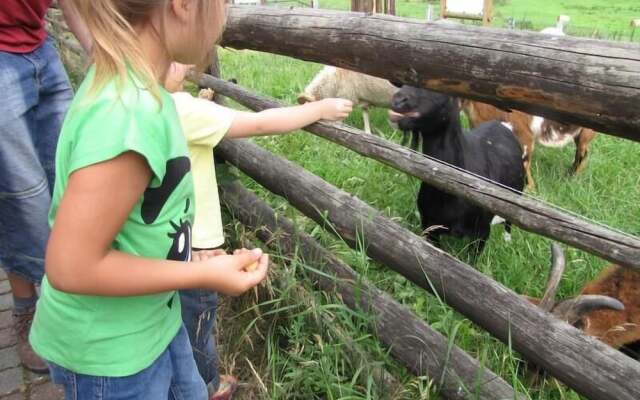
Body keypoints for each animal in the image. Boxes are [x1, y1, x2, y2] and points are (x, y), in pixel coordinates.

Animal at [458, 101, 596, 192]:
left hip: (586, 132)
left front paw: (529, 190)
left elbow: (524, 163)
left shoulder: (524, 135)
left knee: (582, 153)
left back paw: (571, 177)